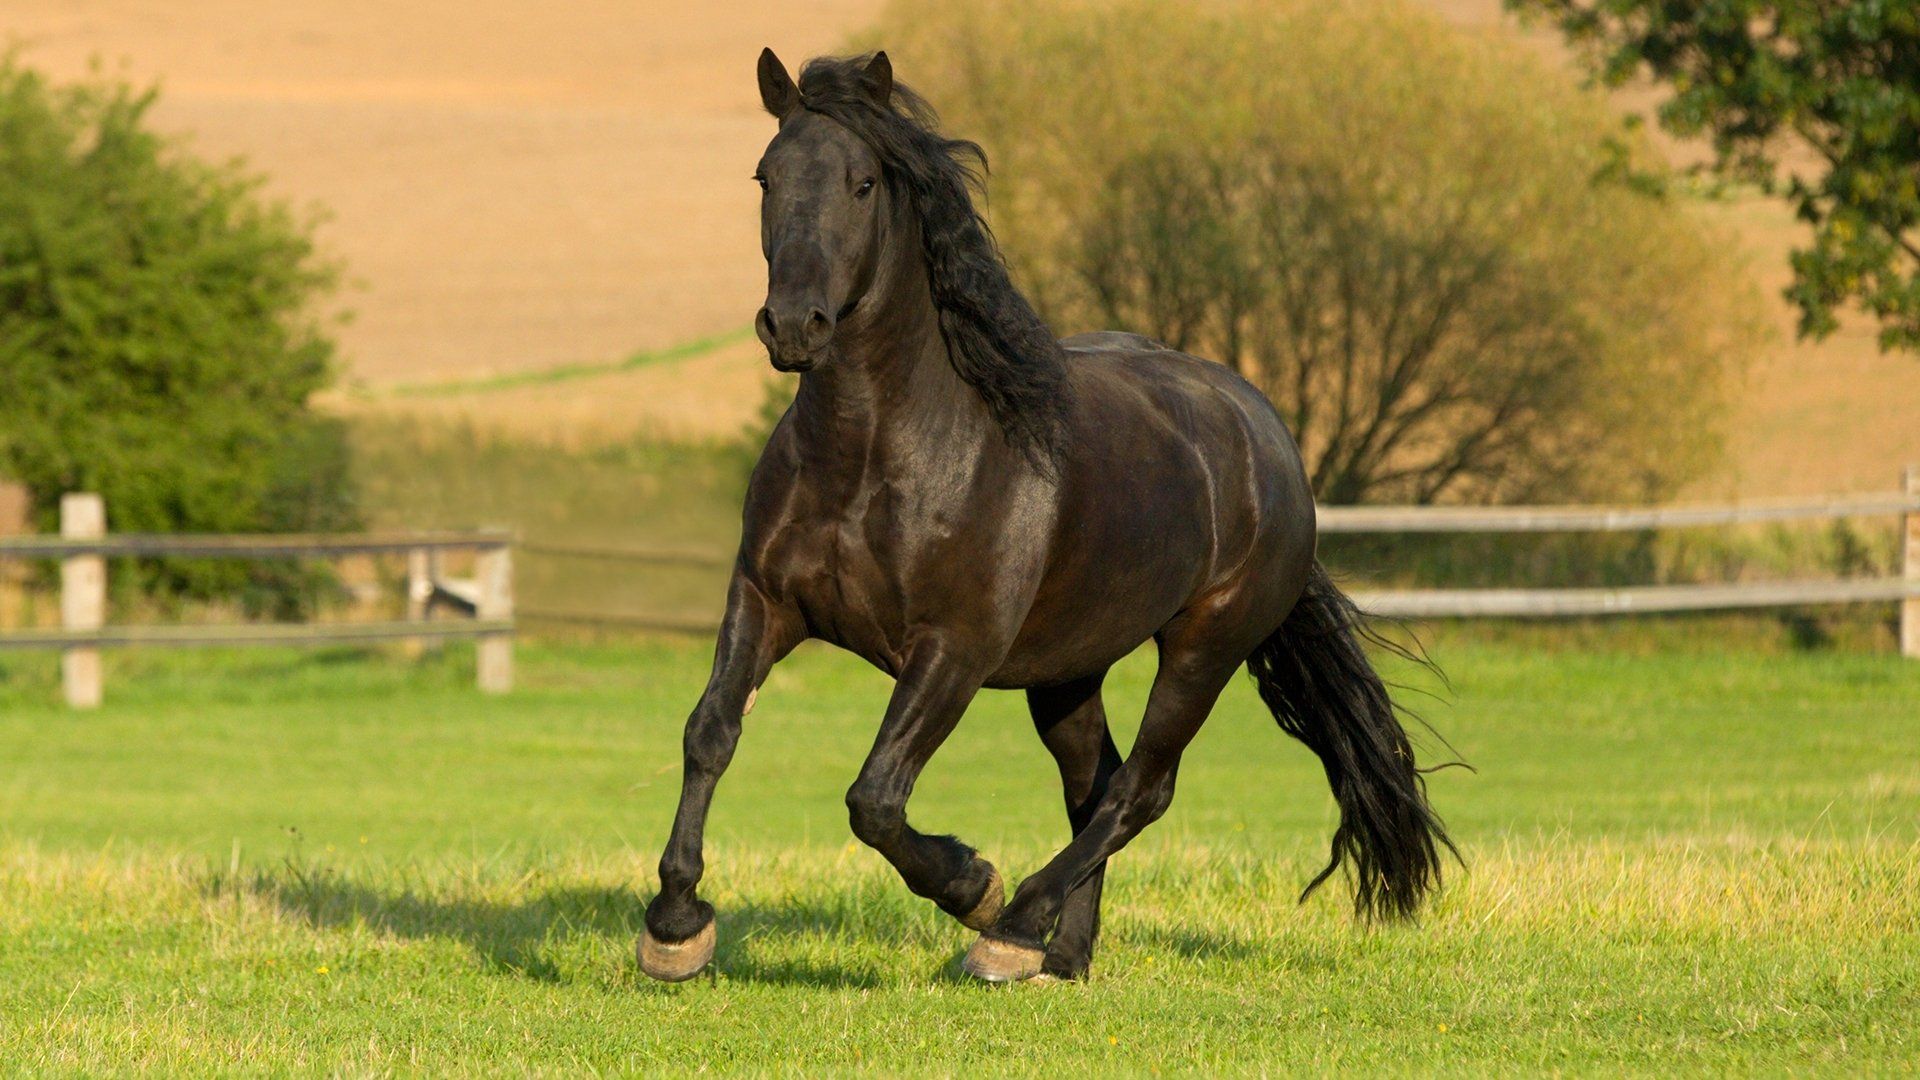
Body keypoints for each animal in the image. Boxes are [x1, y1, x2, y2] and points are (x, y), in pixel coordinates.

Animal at [637, 50, 1443, 980]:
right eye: (766, 177)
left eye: (863, 181)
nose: (794, 325)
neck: (875, 457)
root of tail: (1268, 437)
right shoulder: (764, 602)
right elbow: (710, 733)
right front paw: (675, 926)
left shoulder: (954, 649)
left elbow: (875, 797)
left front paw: (972, 884)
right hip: (1068, 671)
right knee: (1093, 786)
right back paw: (1062, 955)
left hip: (1204, 647)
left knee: (1140, 789)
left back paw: (1013, 928)